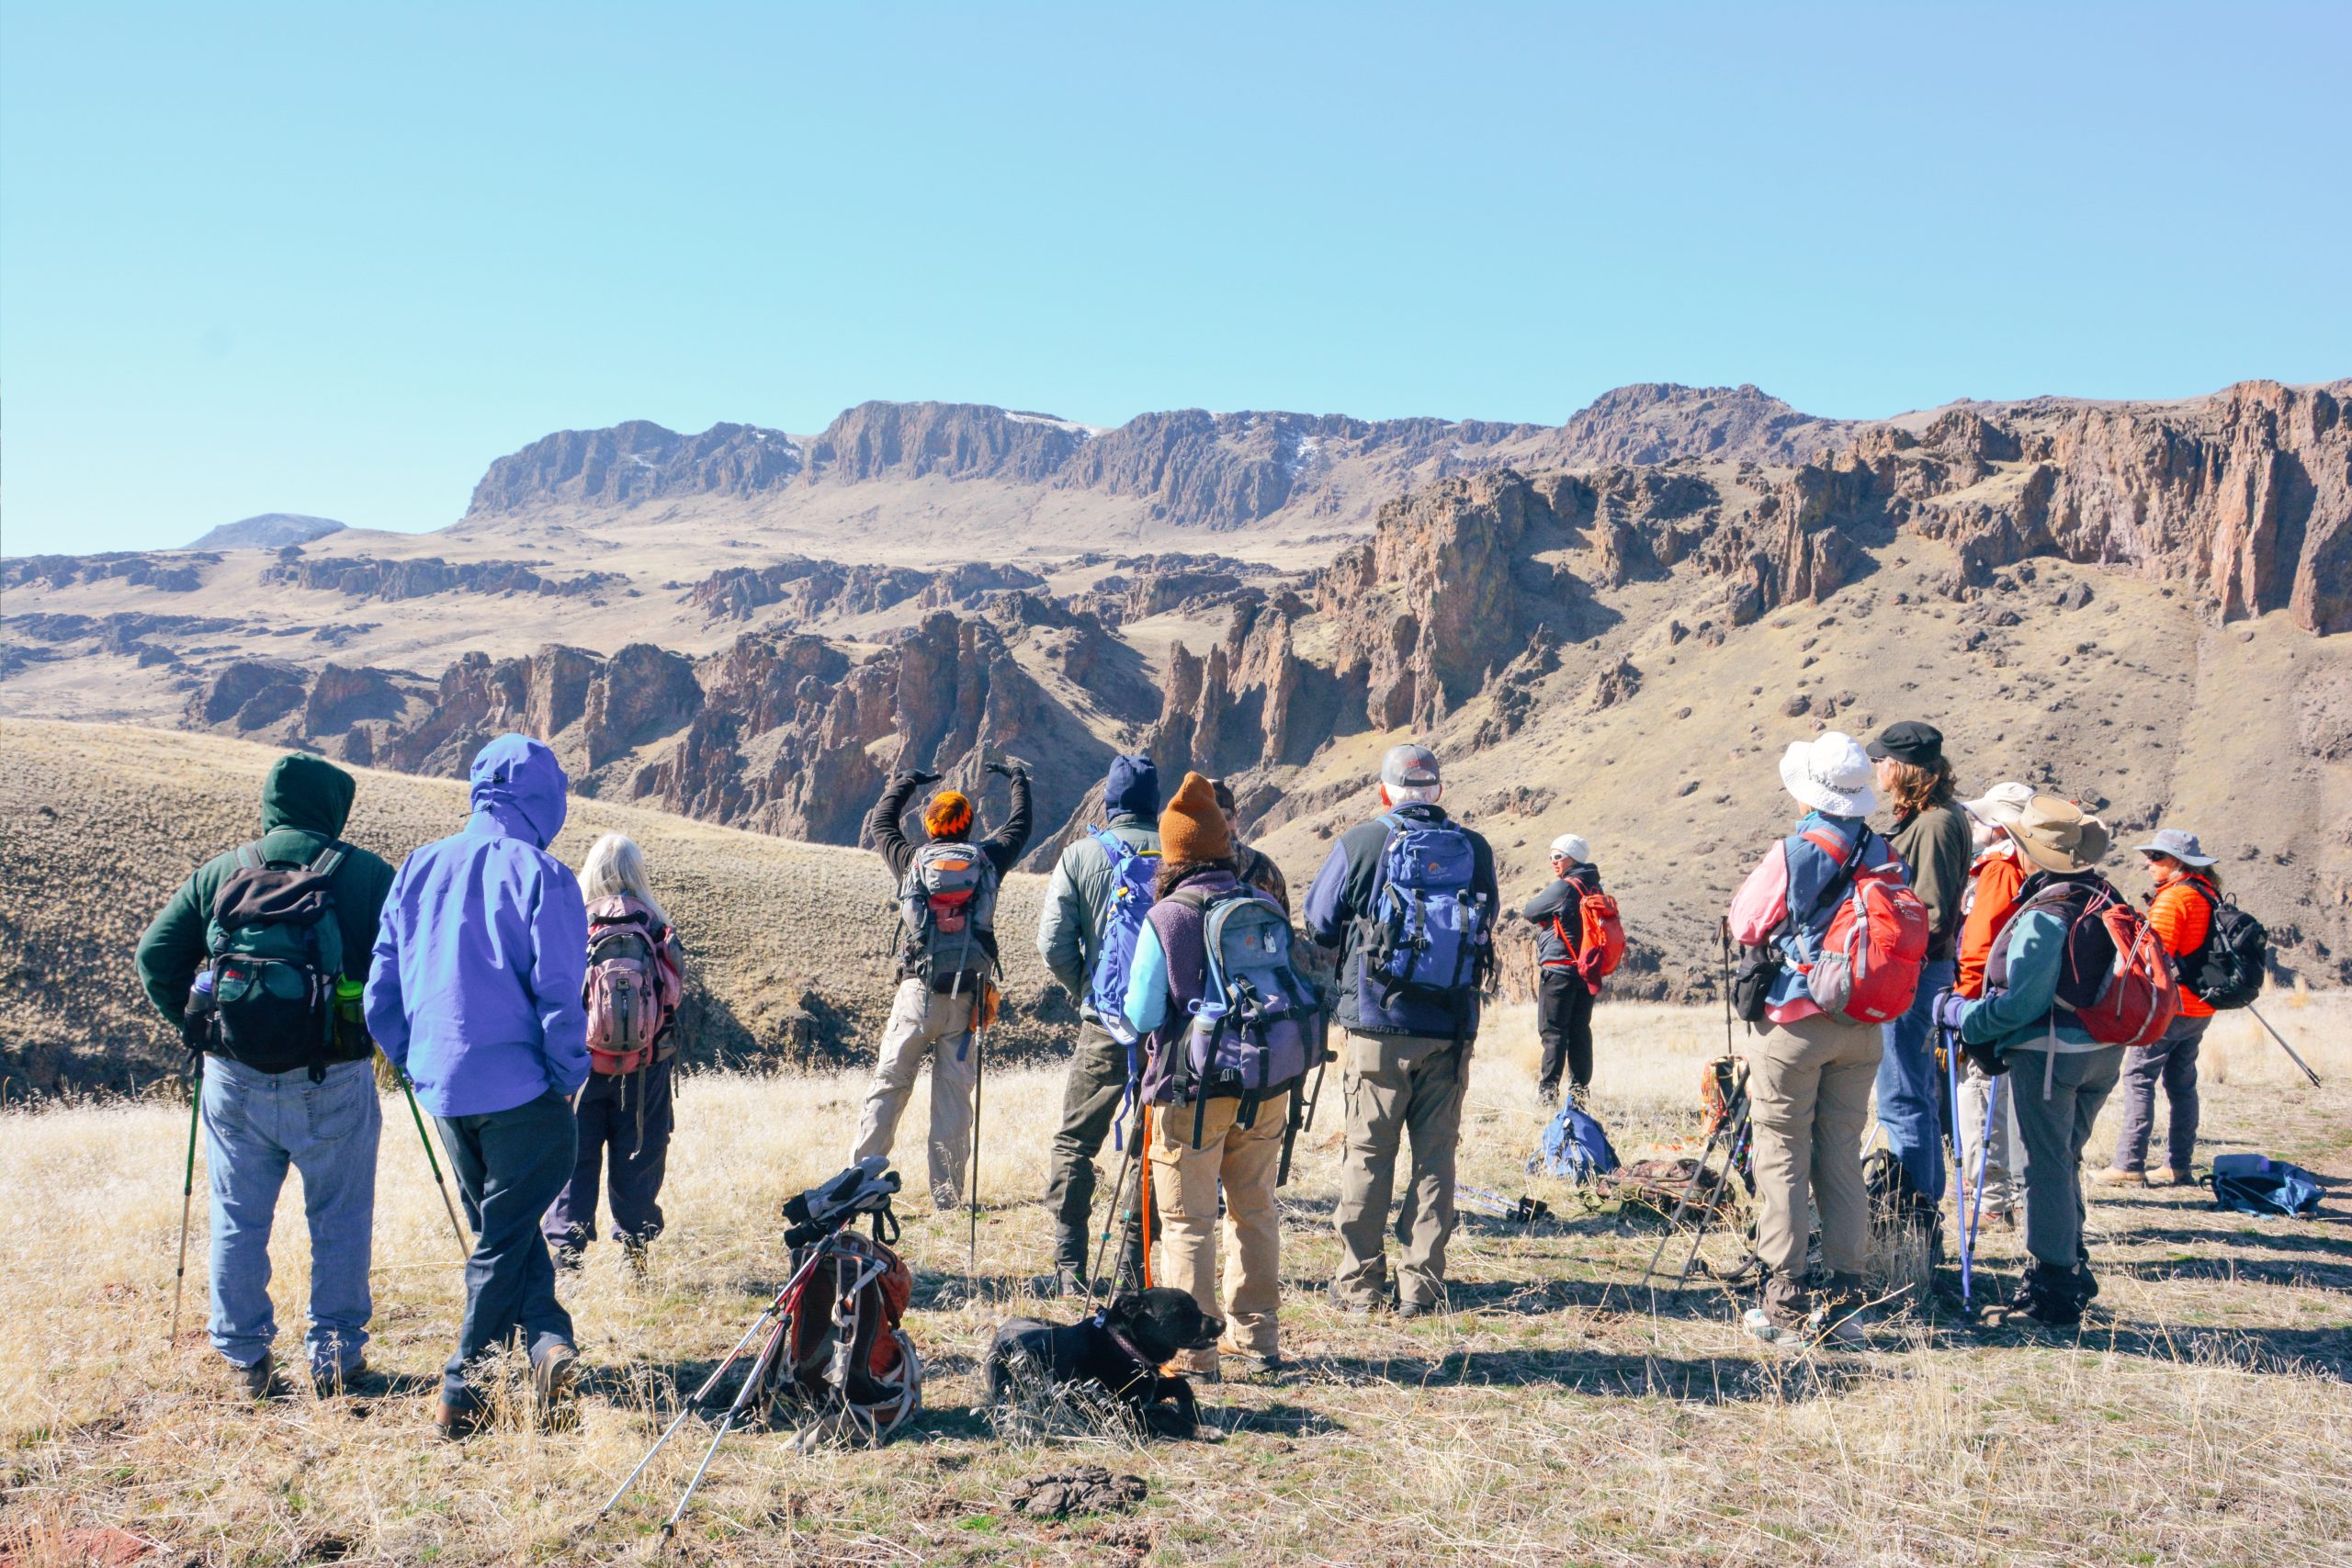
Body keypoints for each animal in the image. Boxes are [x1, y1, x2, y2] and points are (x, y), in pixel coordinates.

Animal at [983, 1288, 1223, 1438]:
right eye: (1181, 1312)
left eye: (1196, 1306)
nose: (1223, 1324)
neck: (1124, 1345)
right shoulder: (1121, 1414)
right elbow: (1164, 1414)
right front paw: (1203, 1430)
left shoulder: (1148, 1389)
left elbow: (1182, 1384)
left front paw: (1193, 1412)